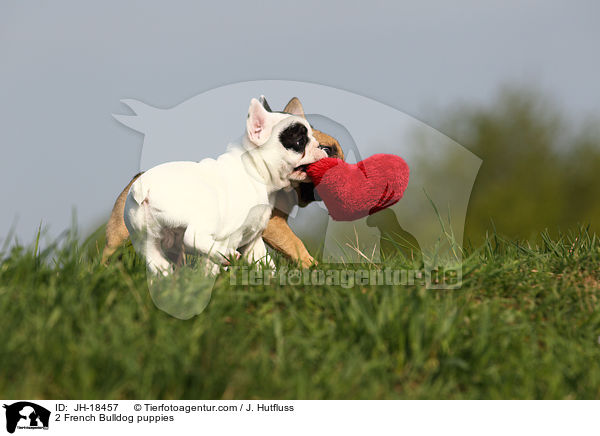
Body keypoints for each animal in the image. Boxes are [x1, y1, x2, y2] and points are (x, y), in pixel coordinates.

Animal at [102, 98, 342, 268]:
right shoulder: (272, 225)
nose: (343, 165)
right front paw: (313, 267)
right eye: (326, 149)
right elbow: (295, 244)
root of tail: (140, 183)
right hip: (121, 236)